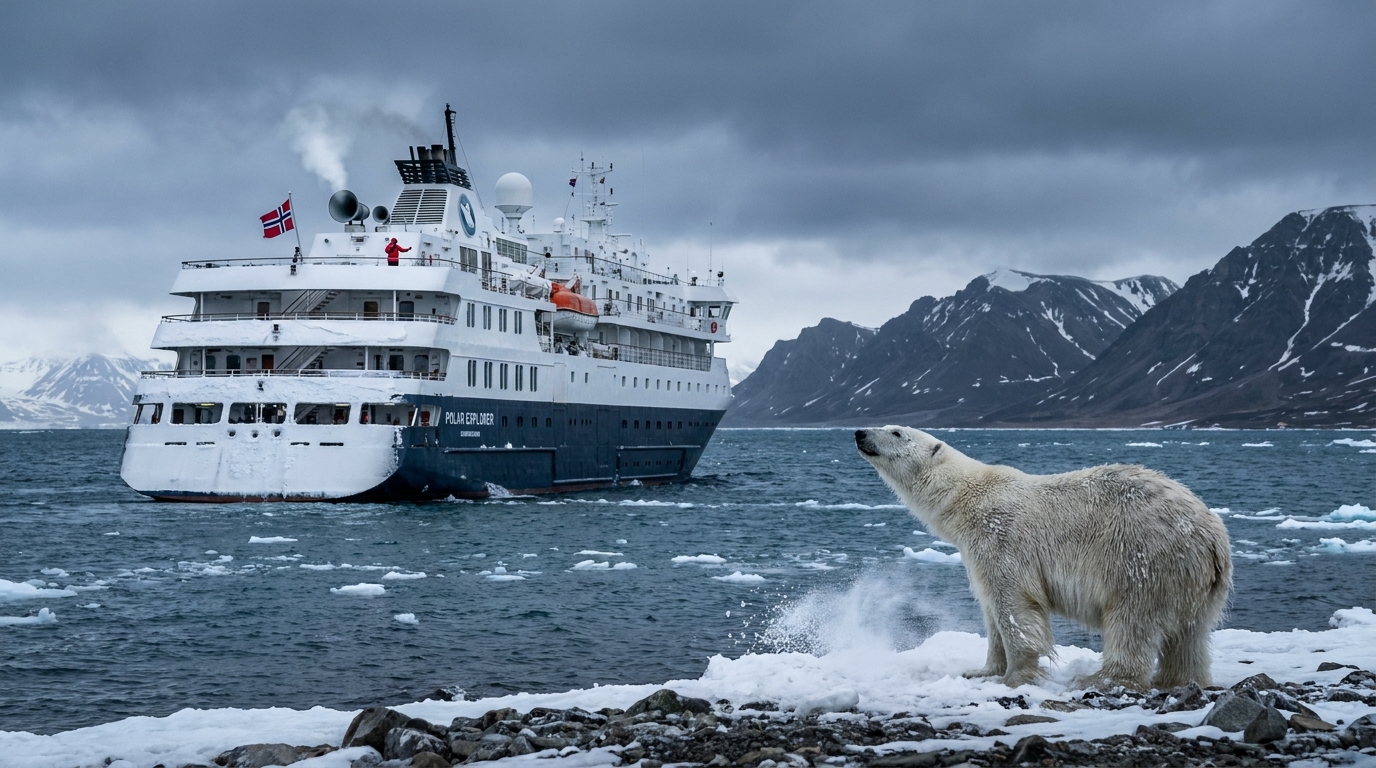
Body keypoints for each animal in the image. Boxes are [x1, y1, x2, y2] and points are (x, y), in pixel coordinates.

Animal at [855, 426, 1232, 690]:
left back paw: (1102, 678)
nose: (859, 432)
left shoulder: (1001, 539)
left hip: (1142, 556)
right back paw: (1180, 679)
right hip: (1195, 580)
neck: (967, 499)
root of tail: (1212, 535)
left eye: (896, 431)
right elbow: (990, 612)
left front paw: (1015, 676)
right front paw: (981, 670)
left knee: (1132, 619)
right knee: (1191, 634)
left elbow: (1014, 606)